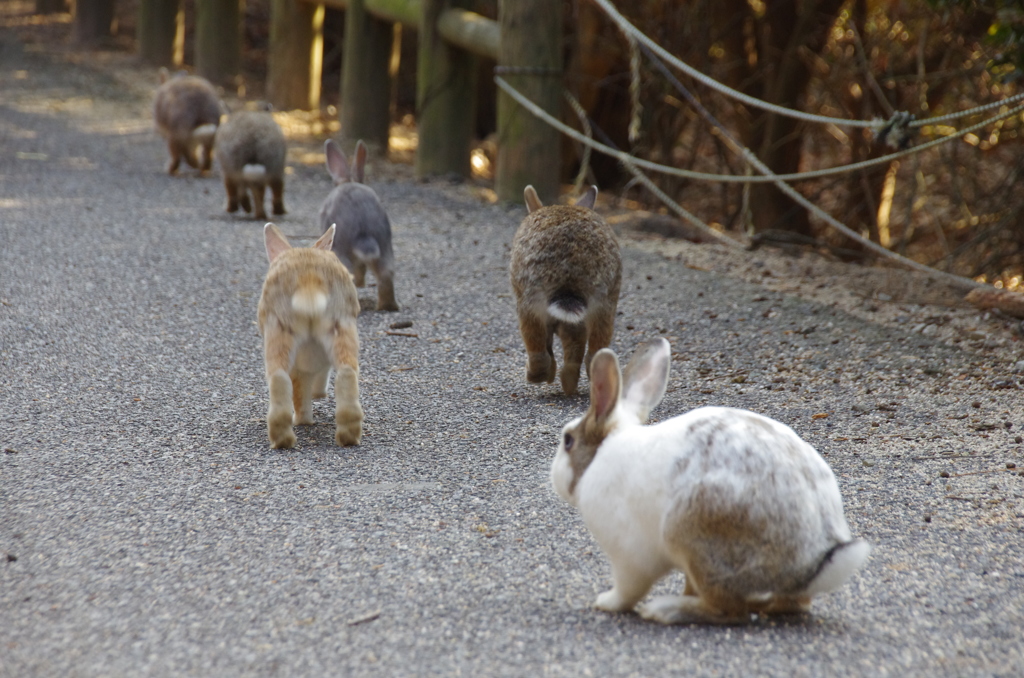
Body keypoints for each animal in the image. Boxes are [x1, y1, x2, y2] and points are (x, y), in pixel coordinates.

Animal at [258, 222, 362, 450]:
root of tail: (309, 279)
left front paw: (304, 419)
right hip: (341, 326)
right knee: (347, 372)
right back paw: (348, 436)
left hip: (279, 330)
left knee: (280, 379)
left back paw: (285, 436)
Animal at [507, 186, 618, 399]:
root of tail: (569, 275)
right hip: (605, 303)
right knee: (592, 352)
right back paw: (575, 385)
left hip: (528, 299)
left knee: (537, 347)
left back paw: (536, 375)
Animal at [552, 340, 872, 626]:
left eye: (567, 441)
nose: (553, 476)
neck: (601, 454)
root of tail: (812, 563)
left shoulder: (629, 556)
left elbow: (628, 589)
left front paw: (606, 602)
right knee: (791, 605)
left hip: (693, 539)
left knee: (729, 611)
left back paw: (665, 610)